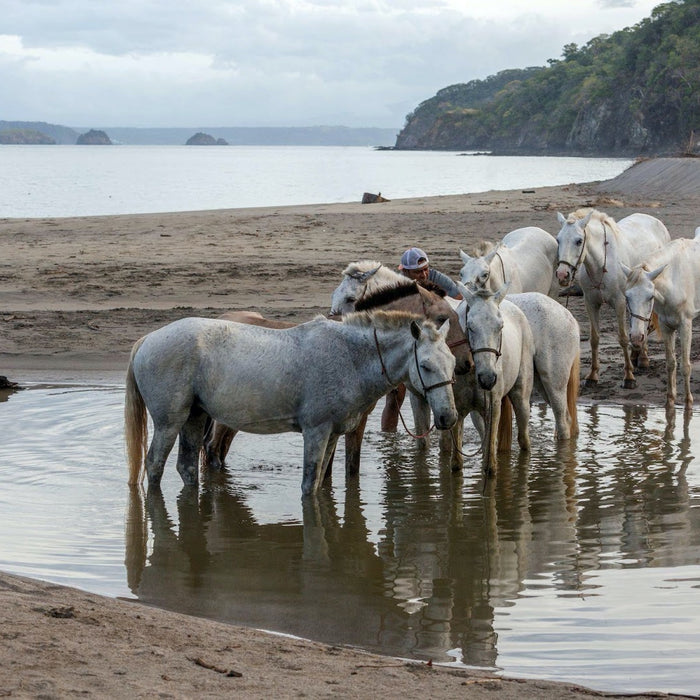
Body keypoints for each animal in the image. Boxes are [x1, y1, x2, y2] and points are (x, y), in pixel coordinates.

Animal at [124, 312, 460, 498]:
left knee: (187, 466)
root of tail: (147, 340)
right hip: (169, 423)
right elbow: (309, 484)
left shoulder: (332, 435)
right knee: (154, 465)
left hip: (194, 418)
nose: (448, 417)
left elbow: (320, 482)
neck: (349, 356)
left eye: (453, 364)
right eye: (426, 365)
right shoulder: (316, 432)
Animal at [454, 284, 536, 476]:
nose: (488, 379)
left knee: (523, 439)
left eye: (500, 326)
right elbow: (456, 465)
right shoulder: (457, 411)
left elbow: (490, 468)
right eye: (470, 326)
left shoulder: (493, 408)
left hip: (521, 399)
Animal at [556, 208, 668, 394]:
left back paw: (643, 358)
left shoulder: (620, 302)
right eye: (558, 239)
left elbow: (622, 338)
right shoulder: (591, 303)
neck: (601, 263)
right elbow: (594, 339)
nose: (562, 274)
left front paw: (629, 377)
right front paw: (592, 376)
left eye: (579, 241)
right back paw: (636, 356)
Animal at [628, 232, 700, 410]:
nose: (636, 338)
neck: (674, 280)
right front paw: (670, 401)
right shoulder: (666, 326)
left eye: (650, 296)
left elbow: (685, 366)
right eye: (627, 297)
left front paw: (688, 402)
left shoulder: (685, 325)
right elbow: (670, 363)